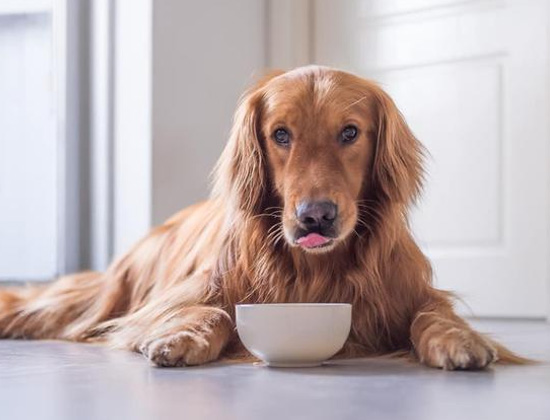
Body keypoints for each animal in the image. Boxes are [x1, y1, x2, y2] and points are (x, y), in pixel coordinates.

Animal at [0, 65, 528, 368]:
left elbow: (432, 316)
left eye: (350, 132)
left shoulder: (412, 293)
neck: (317, 270)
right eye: (280, 134)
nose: (316, 217)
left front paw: (458, 340)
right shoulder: (178, 299)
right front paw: (184, 337)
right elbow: (213, 311)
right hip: (111, 292)